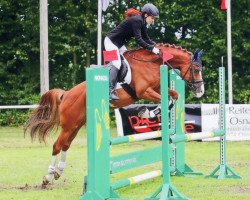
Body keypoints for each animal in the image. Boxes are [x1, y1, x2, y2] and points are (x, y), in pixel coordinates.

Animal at [23, 43, 204, 186]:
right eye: (196, 69)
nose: (201, 91)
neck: (152, 63)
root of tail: (66, 94)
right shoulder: (144, 91)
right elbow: (164, 99)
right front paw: (146, 112)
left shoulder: (157, 89)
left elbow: (174, 96)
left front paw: (147, 112)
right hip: (69, 125)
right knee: (57, 145)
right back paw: (47, 177)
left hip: (75, 125)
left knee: (65, 145)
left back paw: (58, 173)